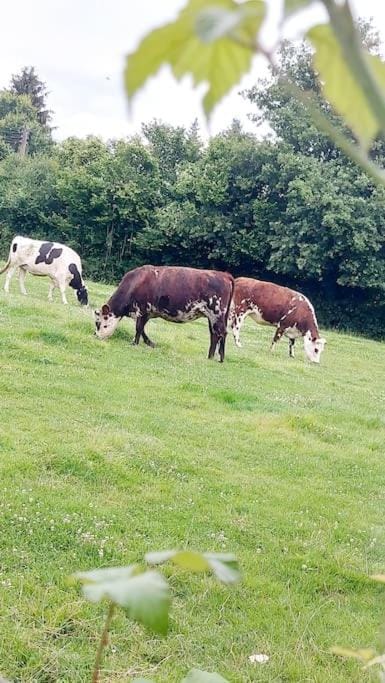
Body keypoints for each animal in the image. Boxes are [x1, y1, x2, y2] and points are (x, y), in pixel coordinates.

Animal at [94, 266, 236, 364]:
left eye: (102, 324)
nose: (96, 336)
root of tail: (224, 274)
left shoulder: (142, 309)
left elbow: (138, 328)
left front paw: (134, 343)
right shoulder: (147, 313)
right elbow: (142, 329)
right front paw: (150, 343)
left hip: (216, 313)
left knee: (221, 333)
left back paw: (219, 358)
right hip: (213, 317)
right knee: (214, 334)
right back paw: (211, 356)